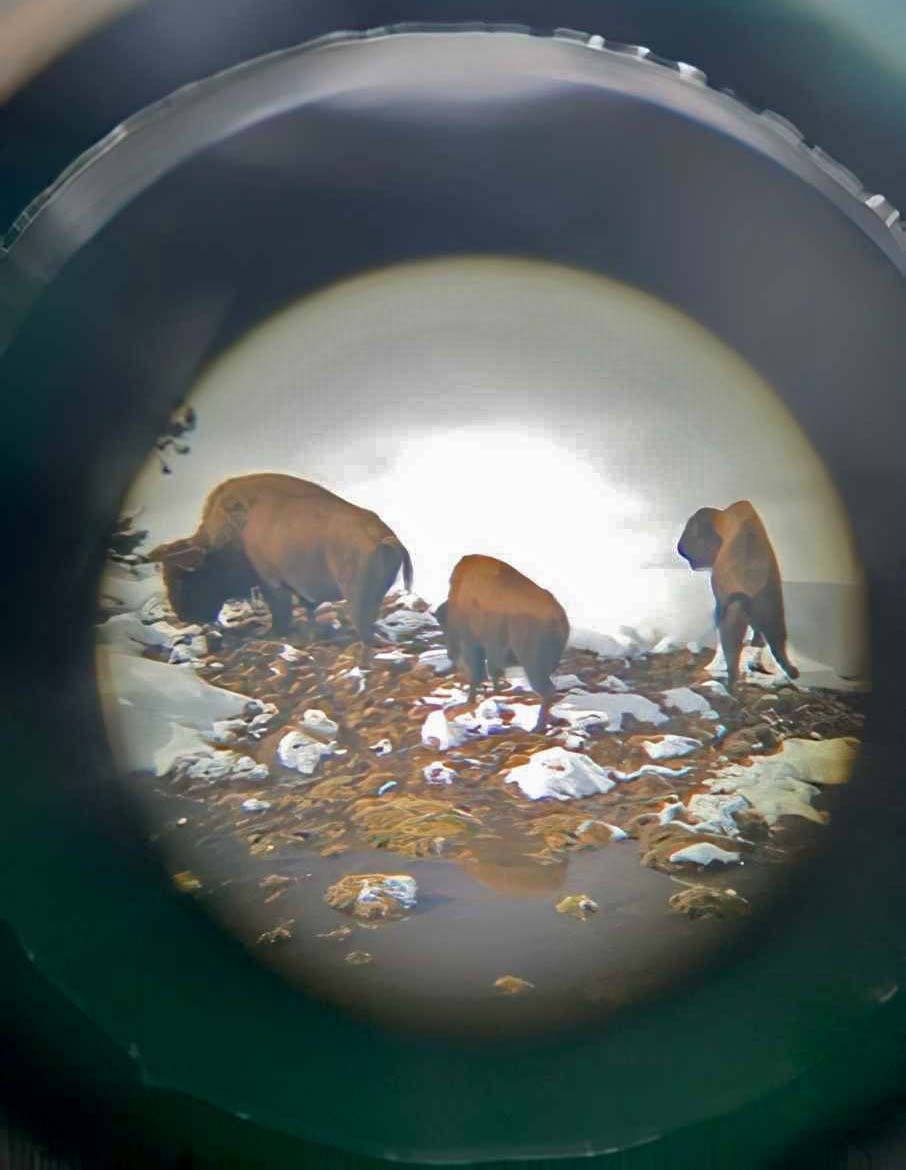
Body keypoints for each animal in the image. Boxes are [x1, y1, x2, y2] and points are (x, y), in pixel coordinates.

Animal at [149, 470, 414, 645]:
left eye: (180, 578)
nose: (183, 615)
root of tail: (385, 538)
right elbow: (306, 606)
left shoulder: (272, 582)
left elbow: (280, 611)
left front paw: (272, 633)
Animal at [435, 549, 571, 730]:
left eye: (444, 627)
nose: (450, 654)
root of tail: (558, 616)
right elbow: (493, 673)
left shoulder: (474, 644)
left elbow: (478, 675)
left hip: (532, 664)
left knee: (546, 690)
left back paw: (538, 727)